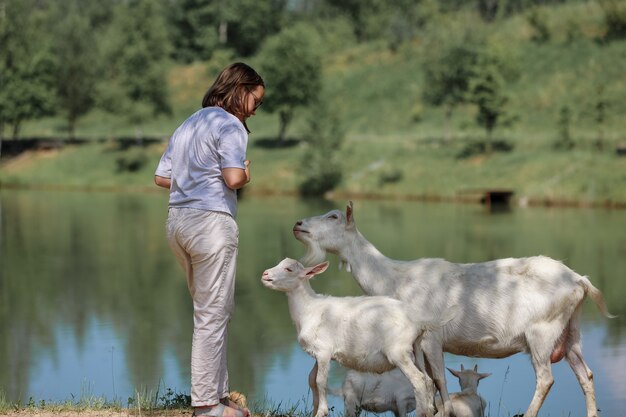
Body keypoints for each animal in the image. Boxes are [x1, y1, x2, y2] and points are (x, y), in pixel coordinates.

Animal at [260, 256, 450, 416]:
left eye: (289, 269)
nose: (264, 274)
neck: (309, 309)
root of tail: (417, 320)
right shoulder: (317, 353)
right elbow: (311, 380)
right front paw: (315, 411)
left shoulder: (324, 351)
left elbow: (321, 381)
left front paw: (322, 412)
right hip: (416, 349)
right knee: (428, 380)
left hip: (399, 352)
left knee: (418, 380)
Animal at [294, 202, 616, 416]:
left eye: (334, 216)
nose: (298, 225)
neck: (394, 279)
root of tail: (580, 280)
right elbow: (432, 384)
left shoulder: (431, 337)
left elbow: (438, 380)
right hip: (570, 331)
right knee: (585, 374)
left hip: (542, 331)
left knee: (546, 378)